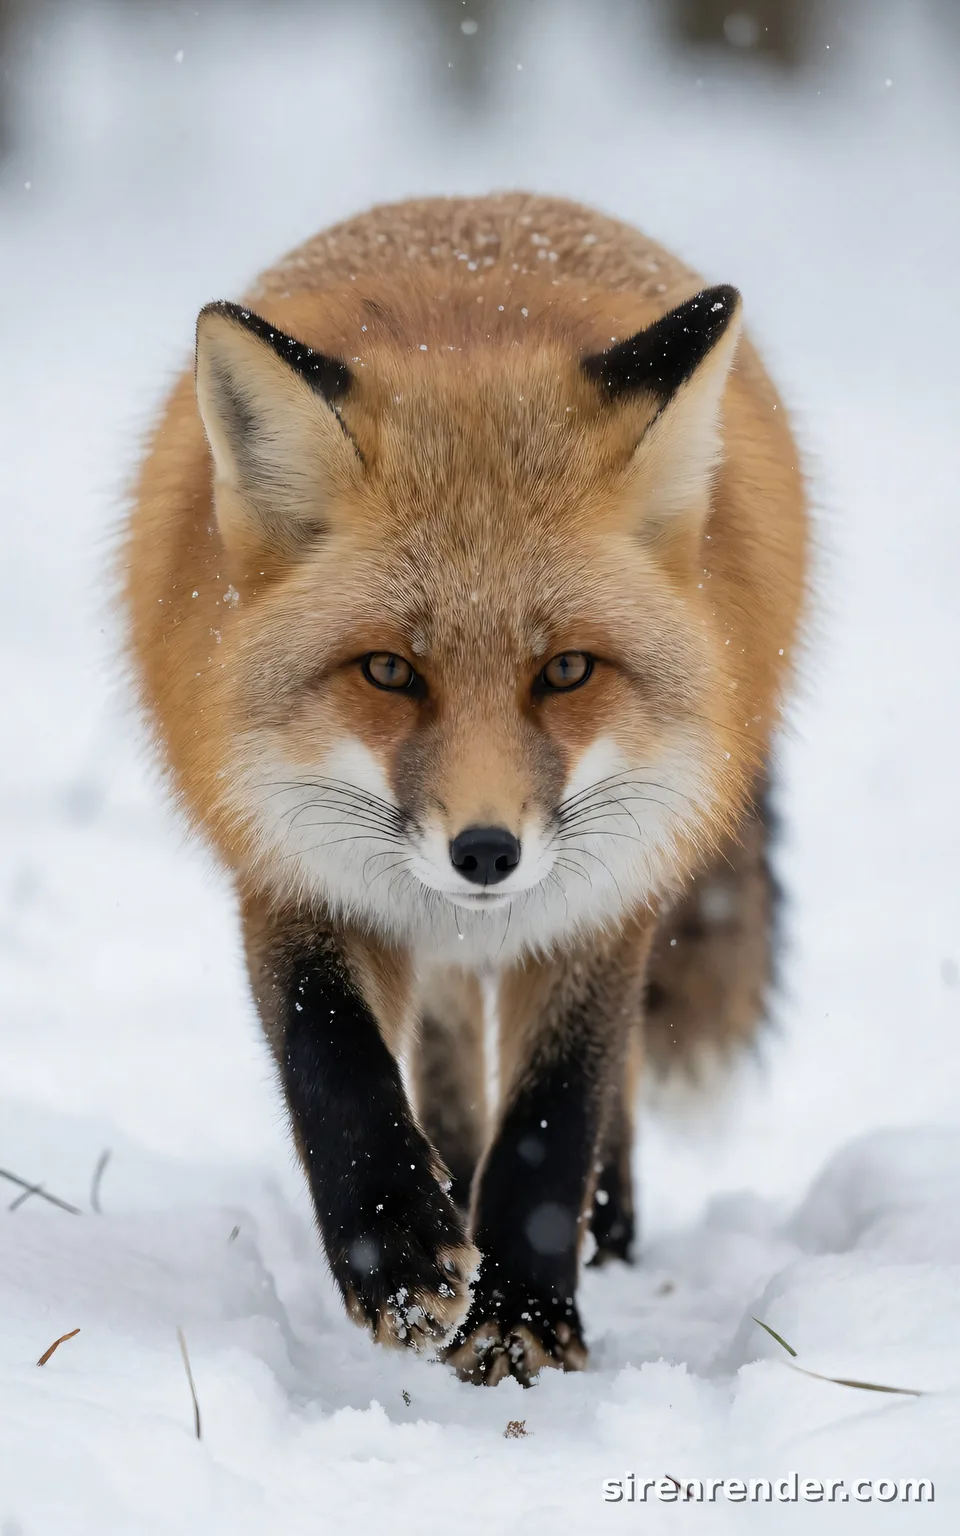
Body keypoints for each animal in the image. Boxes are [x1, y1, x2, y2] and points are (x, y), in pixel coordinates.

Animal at [123, 193, 807, 1385]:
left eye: (567, 670)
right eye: (391, 672)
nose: (486, 853)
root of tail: (486, 204)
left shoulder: (601, 901)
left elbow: (560, 1104)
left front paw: (525, 1306)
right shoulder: (290, 866)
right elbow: (329, 1056)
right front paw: (397, 1250)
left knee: (609, 1076)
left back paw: (606, 1224)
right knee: (443, 1037)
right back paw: (447, 1163)